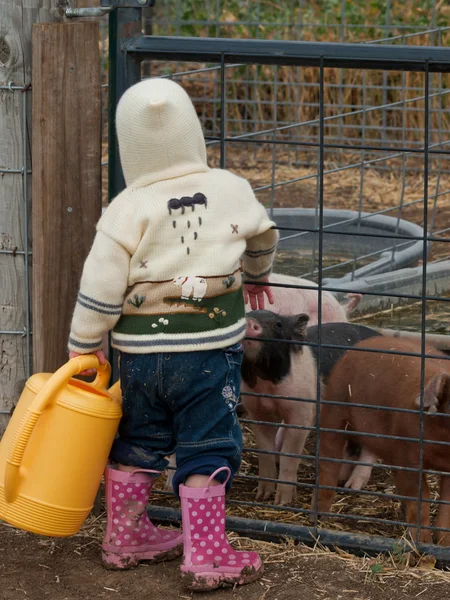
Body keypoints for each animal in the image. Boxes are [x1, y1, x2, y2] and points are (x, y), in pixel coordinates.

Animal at [241, 314, 382, 506]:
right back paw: (341, 480)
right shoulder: (257, 412)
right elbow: (265, 451)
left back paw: (352, 486)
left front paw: (282, 502)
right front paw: (262, 496)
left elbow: (288, 454)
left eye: (278, 324)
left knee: (369, 448)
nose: (249, 322)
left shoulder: (302, 412)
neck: (267, 382)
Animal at [314, 336, 450, 548]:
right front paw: (422, 542)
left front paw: (444, 544)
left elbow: (445, 505)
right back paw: (323, 515)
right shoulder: (406, 457)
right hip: (335, 407)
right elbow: (420, 497)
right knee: (329, 461)